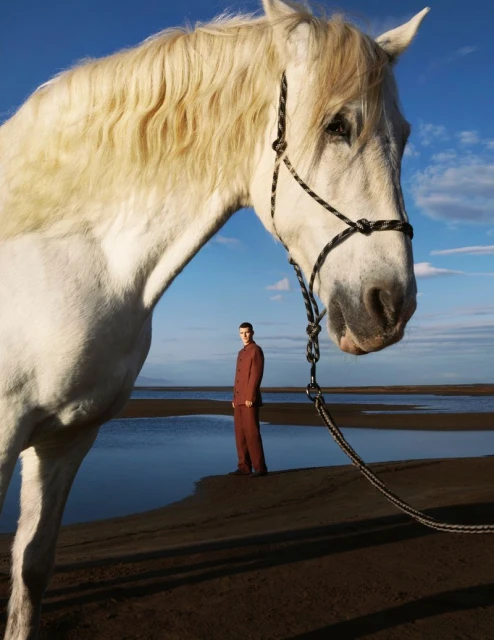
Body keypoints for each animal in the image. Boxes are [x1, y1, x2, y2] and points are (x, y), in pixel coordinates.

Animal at [0, 1, 427, 636]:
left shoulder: (67, 439)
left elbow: (32, 568)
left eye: (402, 137)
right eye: (337, 126)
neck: (62, 256)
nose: (391, 304)